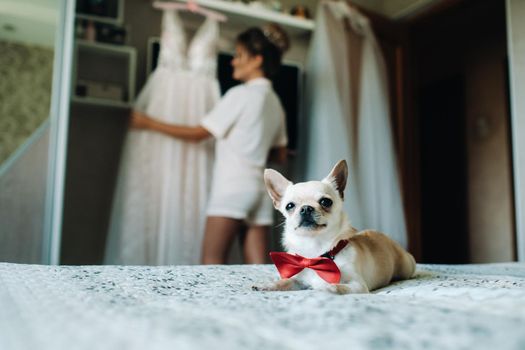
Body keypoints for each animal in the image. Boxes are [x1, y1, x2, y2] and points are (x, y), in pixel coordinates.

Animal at [252, 160, 416, 294]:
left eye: (326, 202)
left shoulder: (358, 285)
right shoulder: (298, 279)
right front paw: (268, 284)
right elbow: (285, 282)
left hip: (407, 267)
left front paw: (325, 286)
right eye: (290, 206)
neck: (315, 251)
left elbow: (338, 286)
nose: (306, 208)